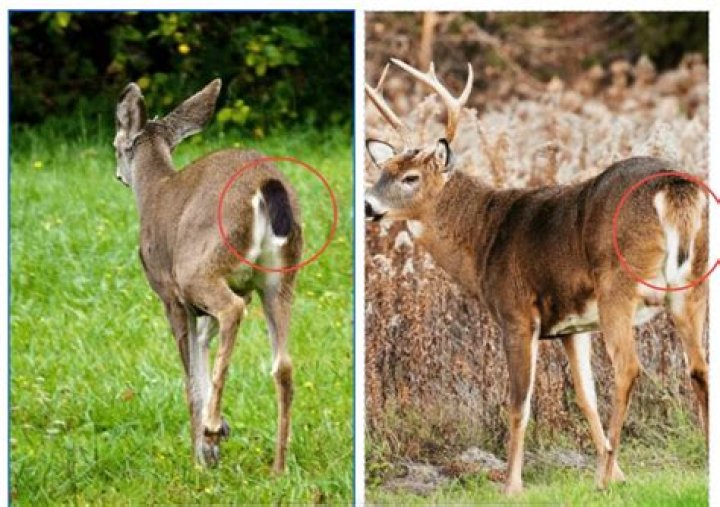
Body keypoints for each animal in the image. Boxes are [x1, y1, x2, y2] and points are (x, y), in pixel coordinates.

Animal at [114, 79, 302, 473]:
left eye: (116, 145)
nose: (118, 174)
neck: (154, 190)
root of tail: (266, 185)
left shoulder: (171, 294)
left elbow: (190, 378)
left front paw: (201, 453)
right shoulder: (234, 290)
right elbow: (201, 348)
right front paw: (213, 443)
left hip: (198, 269)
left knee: (232, 311)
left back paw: (214, 430)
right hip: (278, 278)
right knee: (283, 364)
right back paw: (278, 468)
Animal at [364, 59, 708, 495]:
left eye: (410, 178)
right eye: (383, 170)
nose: (367, 204)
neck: (483, 238)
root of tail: (673, 186)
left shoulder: (517, 314)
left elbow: (519, 403)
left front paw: (512, 484)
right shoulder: (571, 326)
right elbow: (584, 397)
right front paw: (618, 472)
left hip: (619, 286)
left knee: (629, 368)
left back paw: (601, 480)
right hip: (692, 284)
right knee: (699, 367)